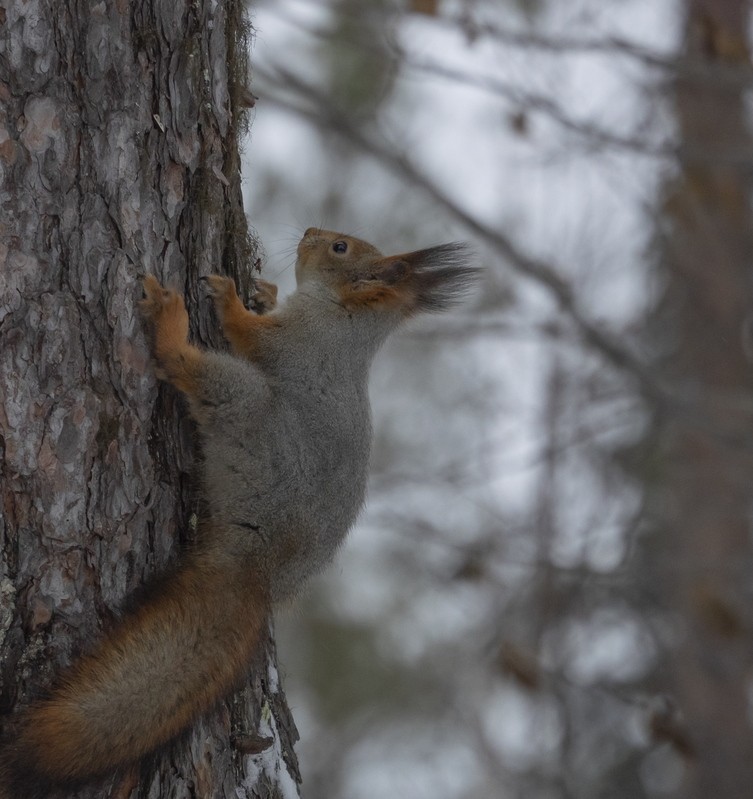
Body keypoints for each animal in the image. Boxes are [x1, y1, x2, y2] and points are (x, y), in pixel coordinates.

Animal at [0, 228, 476, 796]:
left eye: (339, 247)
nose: (309, 233)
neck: (347, 318)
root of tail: (261, 565)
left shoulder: (296, 341)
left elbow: (247, 334)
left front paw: (229, 296)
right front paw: (262, 291)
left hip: (245, 408)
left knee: (194, 371)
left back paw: (170, 324)